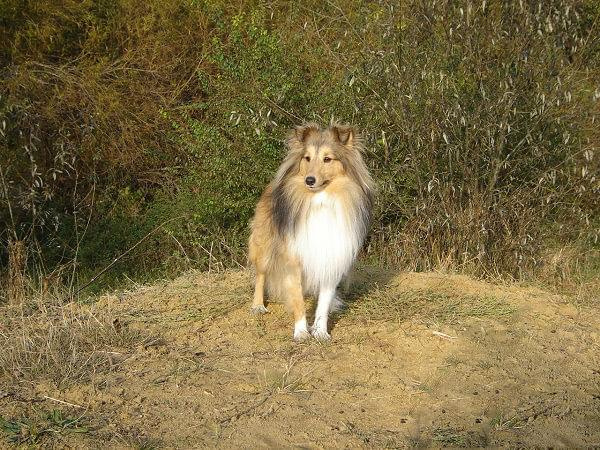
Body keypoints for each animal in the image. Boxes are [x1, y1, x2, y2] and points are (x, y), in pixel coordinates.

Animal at [246, 123, 372, 342]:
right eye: (307, 158)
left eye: (327, 159)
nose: (309, 180)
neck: (320, 200)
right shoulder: (293, 257)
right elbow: (296, 298)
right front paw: (301, 332)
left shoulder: (332, 256)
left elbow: (324, 302)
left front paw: (321, 331)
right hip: (264, 244)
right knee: (261, 274)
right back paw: (258, 305)